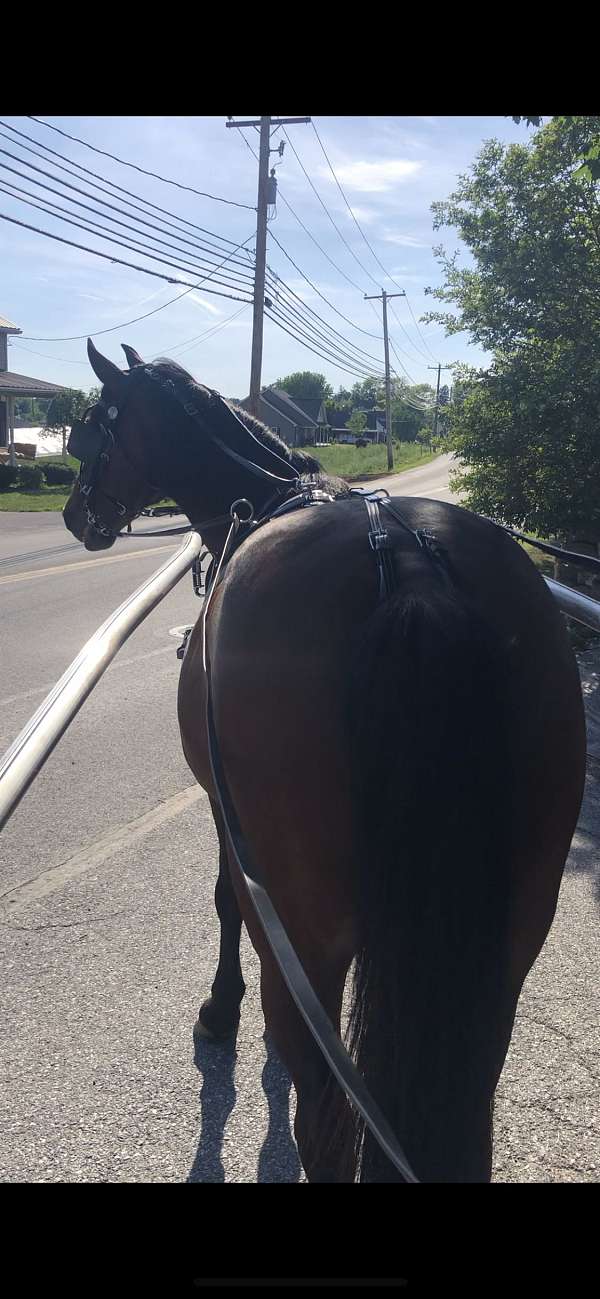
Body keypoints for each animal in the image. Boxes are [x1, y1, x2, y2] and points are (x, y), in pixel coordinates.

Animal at [62, 338, 586, 1182]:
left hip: (306, 928)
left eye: (91, 427)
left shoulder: (226, 816)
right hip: (509, 937)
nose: (77, 513)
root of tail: (410, 567)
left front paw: (220, 1009)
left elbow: (221, 900)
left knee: (325, 1126)